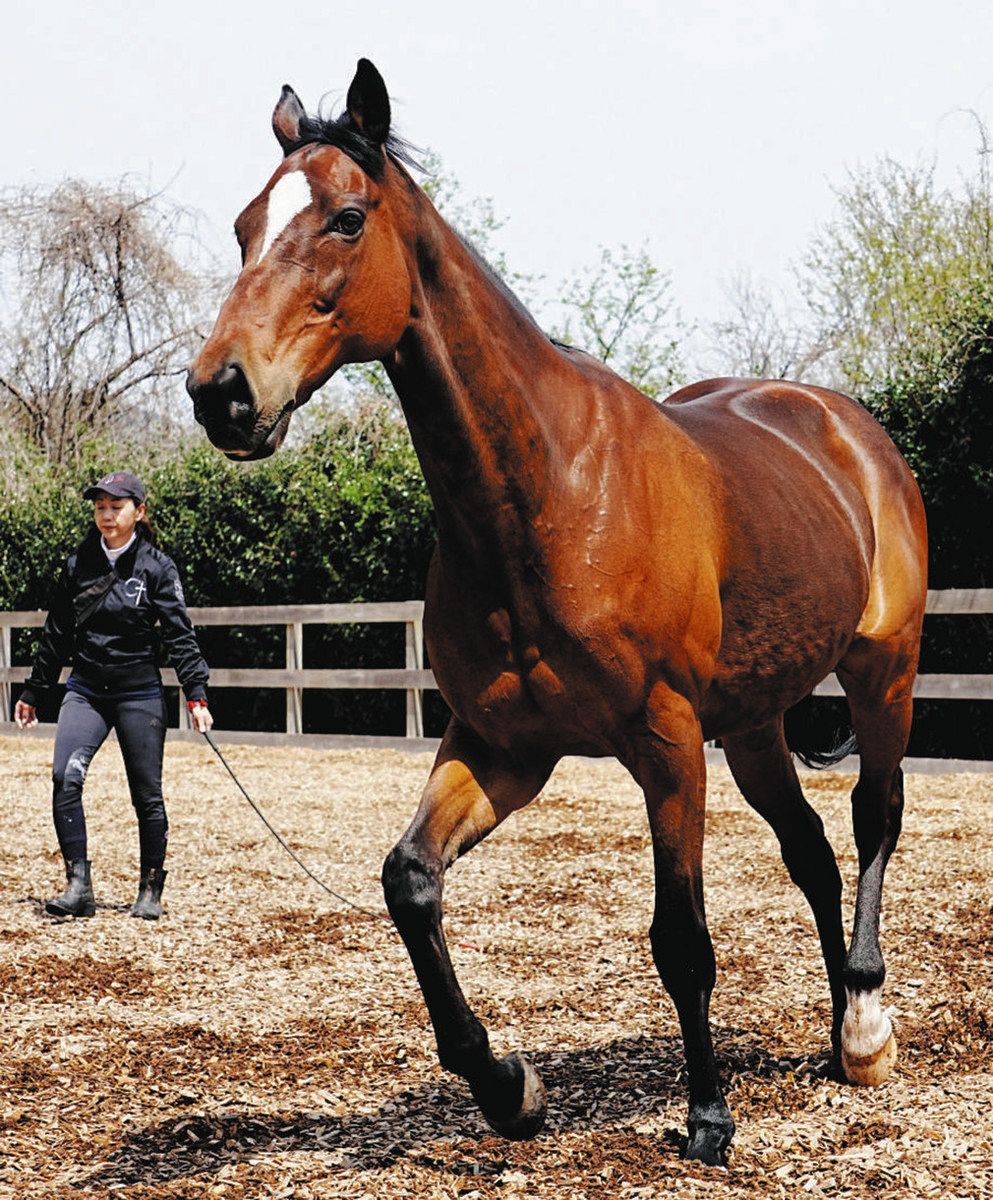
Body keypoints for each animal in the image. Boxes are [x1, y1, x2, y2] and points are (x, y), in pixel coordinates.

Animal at [188, 60, 930, 1166]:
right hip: (753, 723)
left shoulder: (664, 741)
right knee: (810, 853)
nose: (221, 393)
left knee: (873, 816)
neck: (544, 494)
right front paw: (508, 1088)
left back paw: (868, 1026)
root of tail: (842, 424)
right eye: (244, 225)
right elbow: (410, 882)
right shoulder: (503, 746)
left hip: (884, 672)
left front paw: (707, 1118)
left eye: (346, 219)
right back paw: (838, 1020)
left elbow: (681, 937)